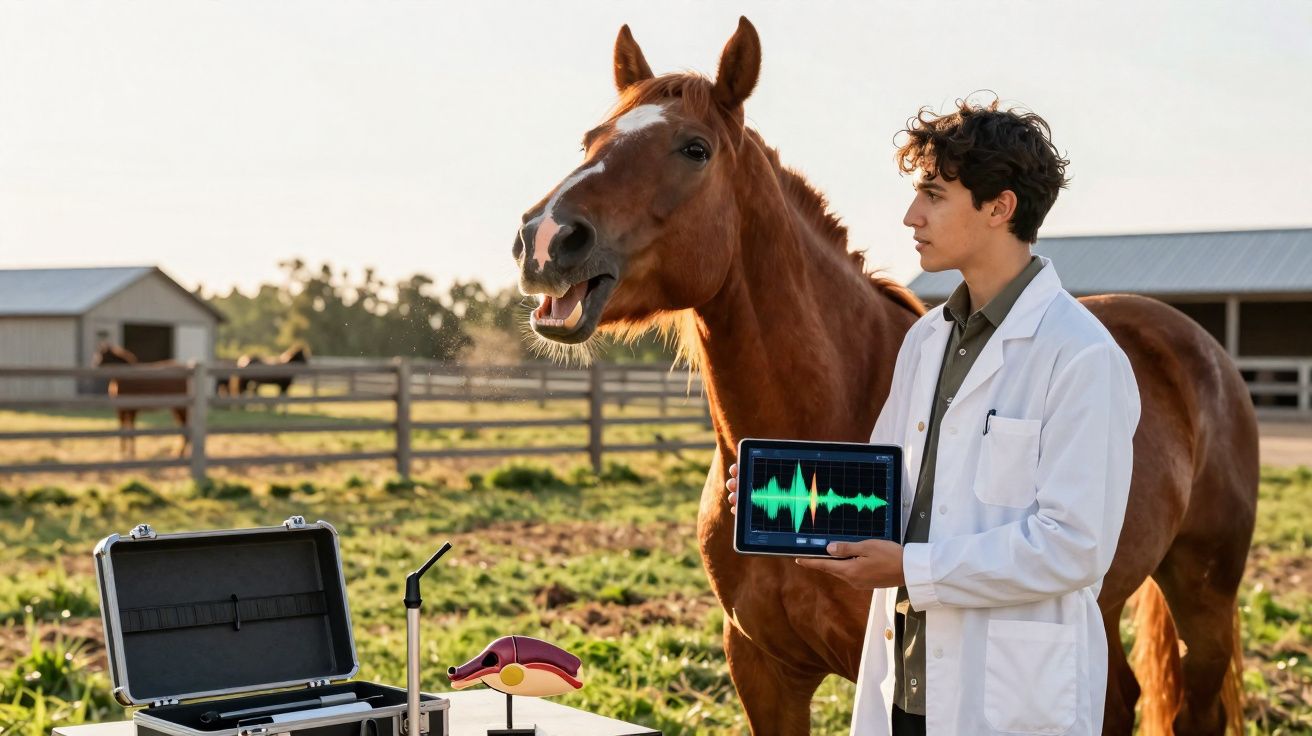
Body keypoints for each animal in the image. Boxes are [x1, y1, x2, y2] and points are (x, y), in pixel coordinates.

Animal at [512, 18, 1257, 736]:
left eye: (694, 149)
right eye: (591, 139)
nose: (545, 238)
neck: (830, 401)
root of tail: (1199, 348)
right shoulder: (764, 671)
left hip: (1203, 595)